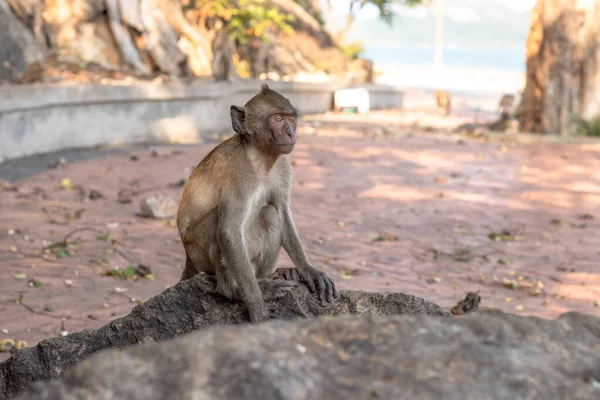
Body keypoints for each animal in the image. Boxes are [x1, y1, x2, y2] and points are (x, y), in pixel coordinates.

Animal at [177, 83, 338, 322]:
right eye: (278, 118)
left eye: (291, 119)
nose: (290, 133)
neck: (260, 156)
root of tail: (188, 258)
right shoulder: (238, 174)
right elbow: (228, 231)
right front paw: (257, 306)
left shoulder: (283, 164)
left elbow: (281, 212)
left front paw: (309, 269)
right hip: (198, 249)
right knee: (219, 223)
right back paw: (234, 289)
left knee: (270, 215)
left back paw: (272, 275)